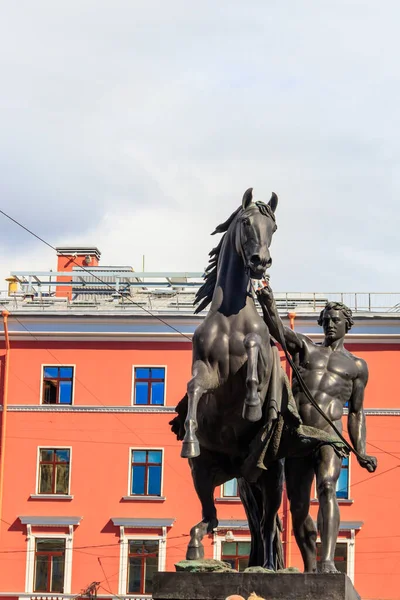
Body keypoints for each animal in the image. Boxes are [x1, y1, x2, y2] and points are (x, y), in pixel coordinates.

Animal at [172, 188, 284, 568]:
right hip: (208, 473)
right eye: (247, 222)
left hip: (271, 473)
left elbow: (254, 354)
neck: (230, 317)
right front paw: (189, 436)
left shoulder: (261, 357)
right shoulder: (205, 369)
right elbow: (193, 388)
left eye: (273, 227)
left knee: (268, 524)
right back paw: (196, 545)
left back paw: (266, 565)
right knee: (212, 517)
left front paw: (251, 406)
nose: (261, 262)